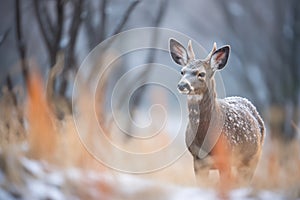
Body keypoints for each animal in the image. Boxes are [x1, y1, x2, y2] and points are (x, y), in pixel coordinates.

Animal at [169, 38, 264, 186]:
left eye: (201, 74)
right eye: (182, 72)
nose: (182, 85)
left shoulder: (227, 159)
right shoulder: (197, 160)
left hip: (253, 158)